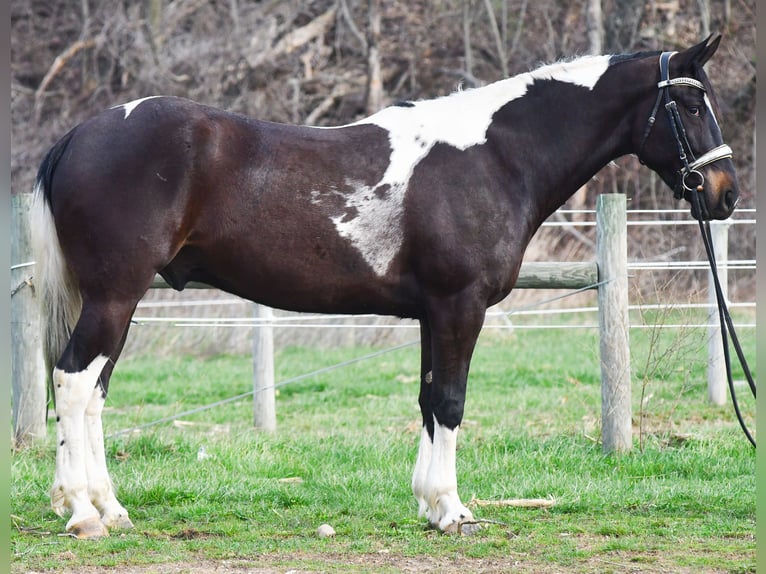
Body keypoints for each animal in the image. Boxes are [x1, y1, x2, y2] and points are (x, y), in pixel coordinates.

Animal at [31, 36, 738, 538]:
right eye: (690, 104)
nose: (726, 194)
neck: (494, 156)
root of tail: (79, 135)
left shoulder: (432, 314)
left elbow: (427, 400)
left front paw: (430, 504)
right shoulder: (459, 306)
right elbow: (450, 401)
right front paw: (453, 510)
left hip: (117, 303)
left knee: (91, 394)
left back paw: (109, 508)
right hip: (115, 296)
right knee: (73, 381)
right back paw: (83, 513)